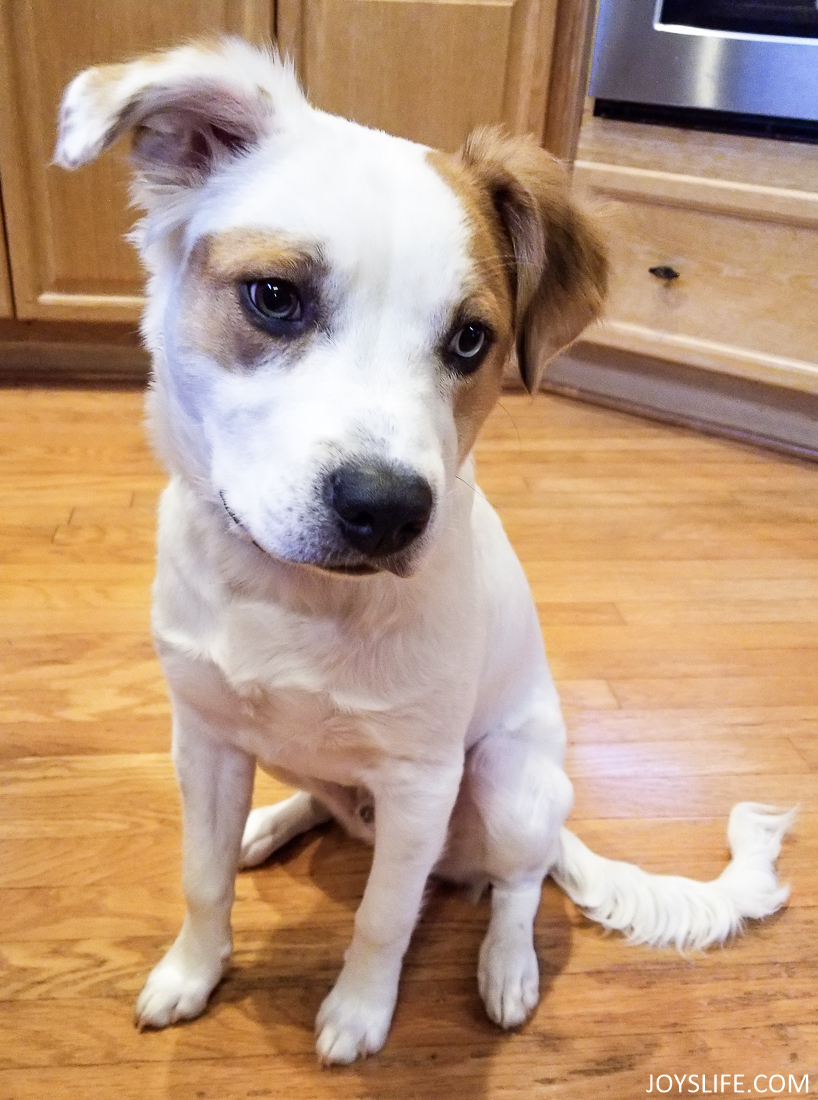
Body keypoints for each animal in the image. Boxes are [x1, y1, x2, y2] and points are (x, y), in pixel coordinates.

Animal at [55, 42, 791, 1064]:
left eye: (471, 339)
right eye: (274, 298)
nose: (387, 512)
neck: (296, 598)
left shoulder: (419, 781)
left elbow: (383, 919)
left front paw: (359, 1014)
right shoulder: (201, 737)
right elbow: (203, 880)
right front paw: (191, 974)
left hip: (509, 781)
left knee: (516, 885)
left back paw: (507, 966)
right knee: (329, 804)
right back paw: (268, 823)